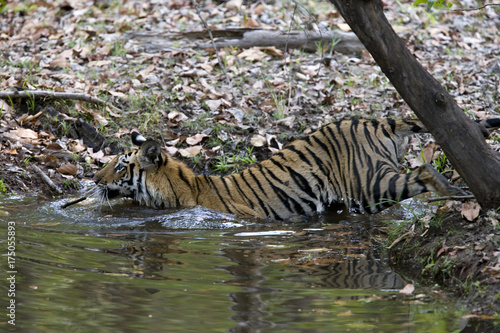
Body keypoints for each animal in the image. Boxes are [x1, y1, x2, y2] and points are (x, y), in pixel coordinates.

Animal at [93, 117, 500, 220]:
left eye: (120, 167)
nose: (93, 178)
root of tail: (375, 121)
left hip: (369, 184)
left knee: (424, 173)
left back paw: (454, 192)